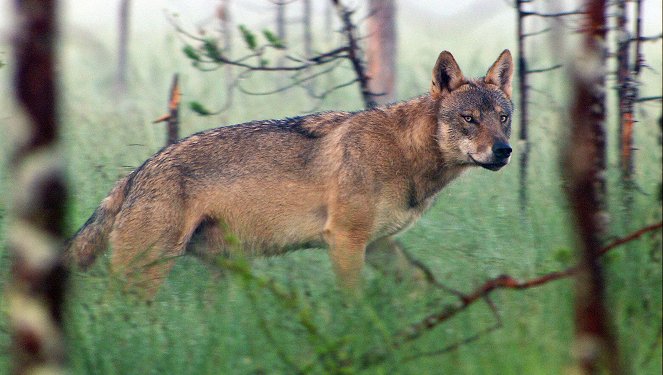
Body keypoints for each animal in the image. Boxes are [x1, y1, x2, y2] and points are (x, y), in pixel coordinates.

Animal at [66, 50, 512, 298]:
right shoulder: (345, 240)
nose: (504, 151)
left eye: (503, 118)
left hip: (219, 274)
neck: (404, 152)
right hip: (147, 271)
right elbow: (354, 301)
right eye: (470, 119)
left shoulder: (379, 245)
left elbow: (420, 282)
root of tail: (136, 173)